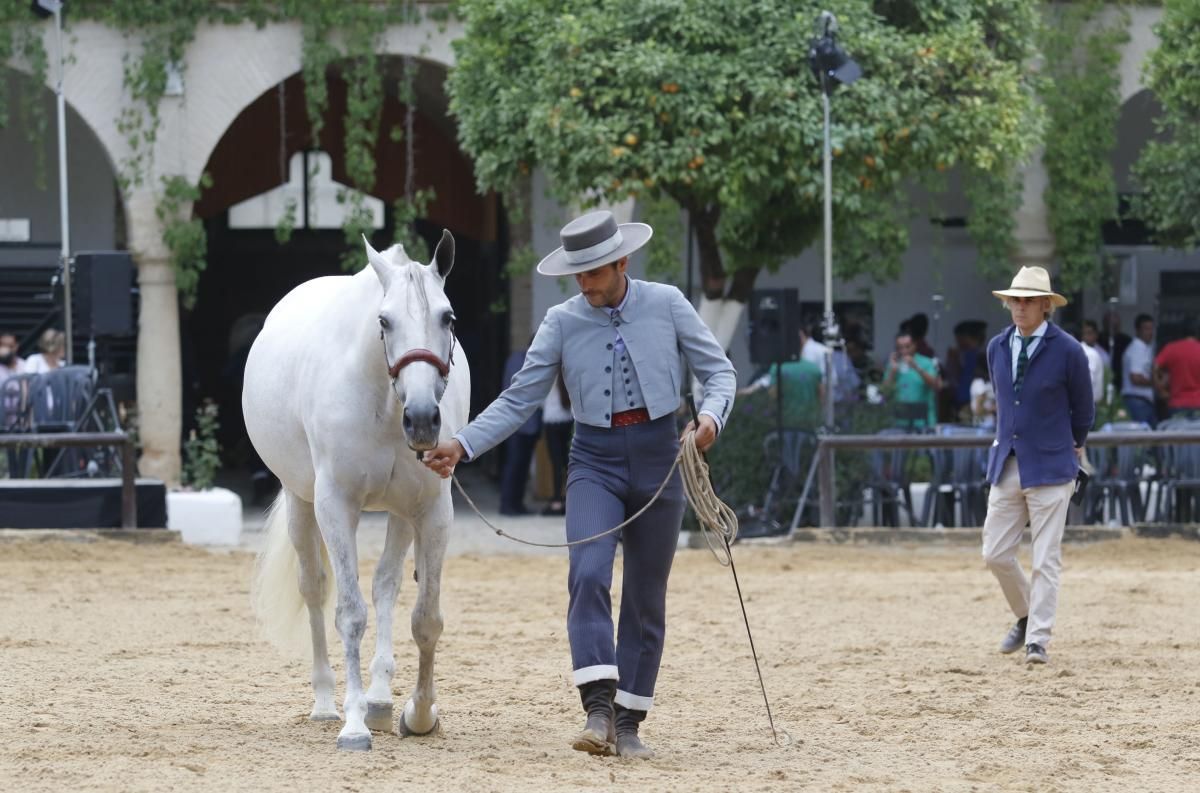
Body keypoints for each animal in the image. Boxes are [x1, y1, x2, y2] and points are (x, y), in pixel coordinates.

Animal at [244, 230, 468, 748]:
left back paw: (380, 700)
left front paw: (418, 714)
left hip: (400, 514)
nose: (423, 420)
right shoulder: (335, 506)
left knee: (386, 586)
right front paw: (352, 724)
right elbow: (348, 612)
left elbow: (425, 618)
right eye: (384, 321)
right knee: (314, 588)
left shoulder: (431, 510)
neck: (384, 403)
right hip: (301, 501)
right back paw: (327, 702)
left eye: (447, 316)